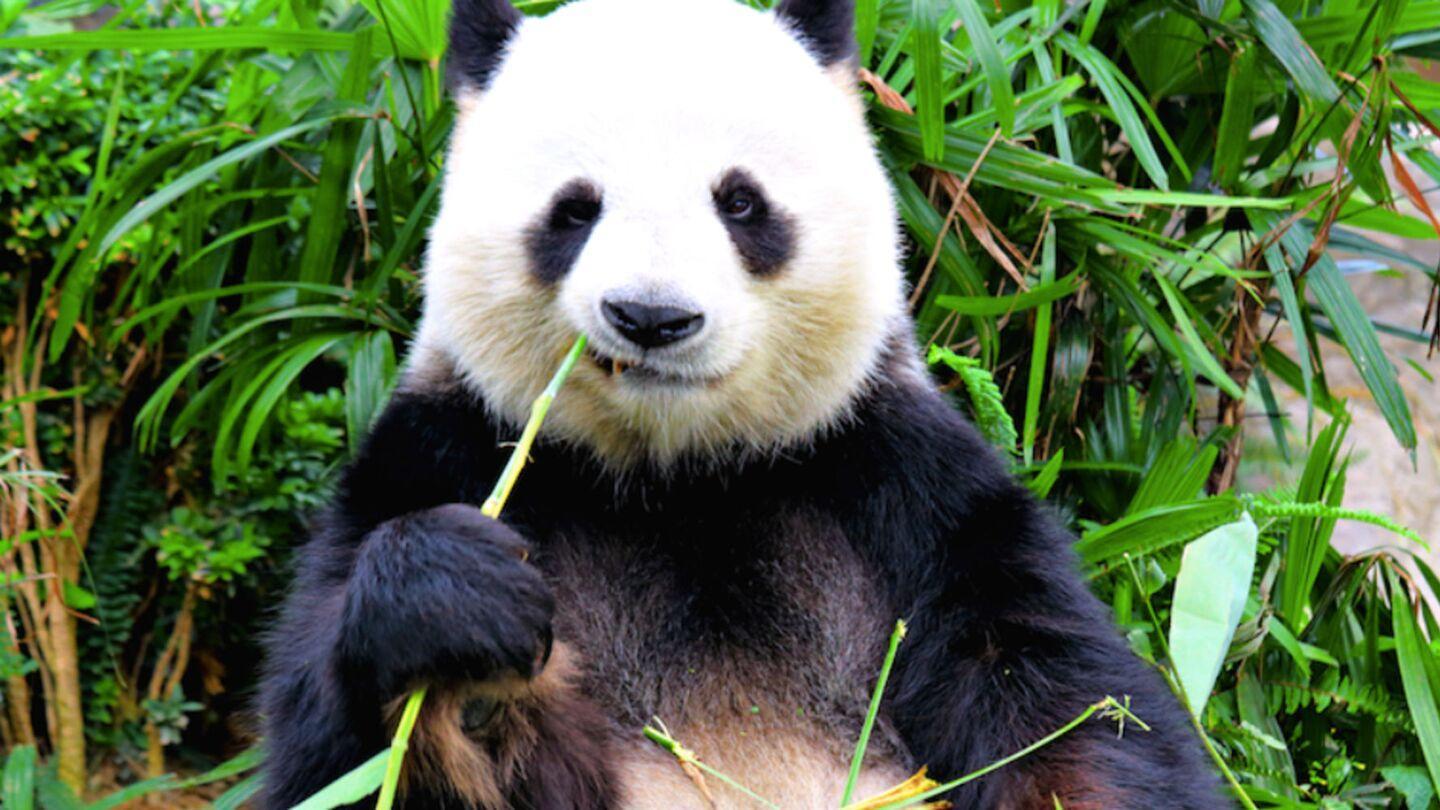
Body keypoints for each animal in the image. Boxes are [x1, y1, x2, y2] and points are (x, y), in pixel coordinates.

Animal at [259, 0, 1221, 807]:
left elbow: (1063, 705)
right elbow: (333, 758)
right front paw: (458, 624)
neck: (678, 476)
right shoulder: (443, 448)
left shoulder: (900, 482)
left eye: (741, 202)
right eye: (573, 210)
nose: (652, 317)